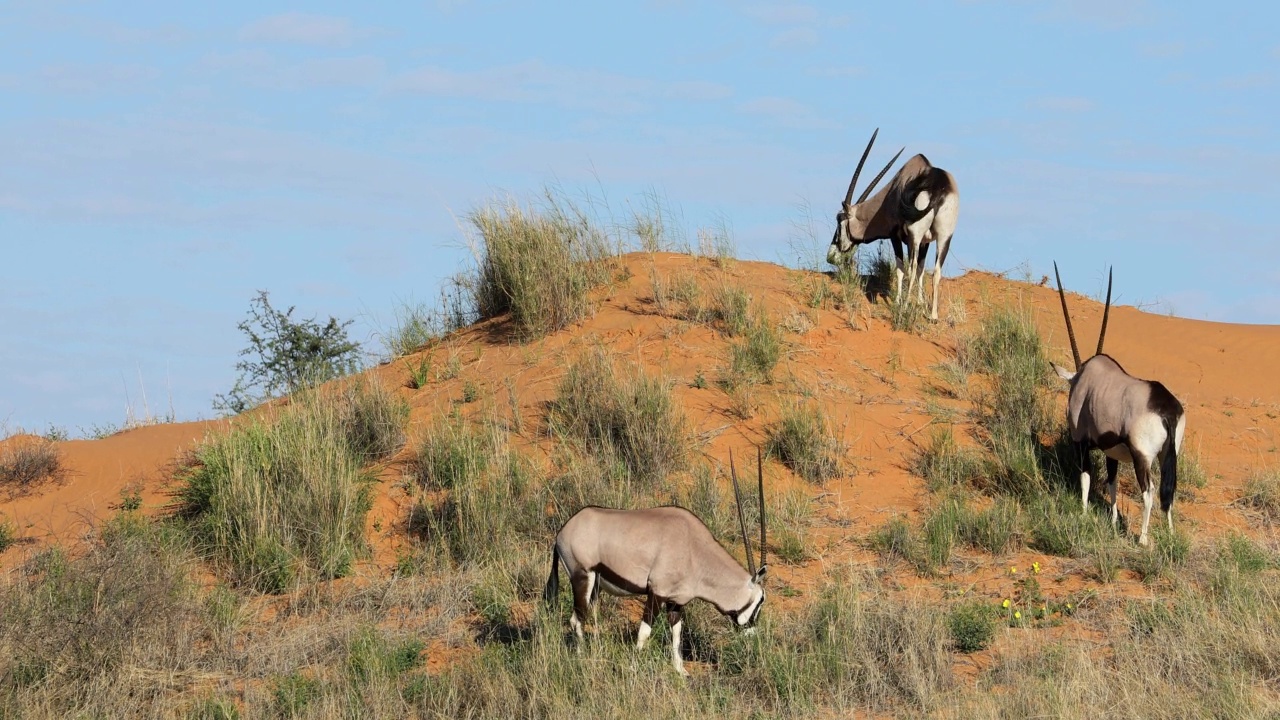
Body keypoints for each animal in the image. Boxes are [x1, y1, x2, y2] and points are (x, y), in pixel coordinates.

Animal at [542, 448, 762, 671]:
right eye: (760, 601)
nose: (753, 634)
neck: (695, 550)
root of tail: (563, 531)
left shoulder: (675, 602)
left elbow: (676, 634)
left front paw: (680, 670)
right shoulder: (656, 593)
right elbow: (645, 632)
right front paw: (635, 666)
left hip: (595, 585)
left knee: (584, 616)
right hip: (582, 577)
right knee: (577, 619)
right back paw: (581, 658)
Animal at [829, 128, 962, 319]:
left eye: (839, 220)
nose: (831, 256)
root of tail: (937, 186)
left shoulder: (896, 237)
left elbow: (901, 268)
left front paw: (899, 302)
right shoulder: (926, 242)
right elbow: (922, 269)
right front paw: (921, 304)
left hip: (915, 236)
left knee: (911, 269)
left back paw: (906, 307)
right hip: (944, 237)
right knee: (936, 272)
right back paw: (933, 316)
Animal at [1054, 263, 1182, 543]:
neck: (1083, 378)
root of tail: (1166, 411)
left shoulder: (1081, 442)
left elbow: (1086, 477)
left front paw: (1083, 513)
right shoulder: (1111, 451)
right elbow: (1111, 483)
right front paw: (1113, 522)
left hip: (1141, 456)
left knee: (1149, 491)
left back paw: (1143, 539)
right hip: (1169, 454)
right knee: (1168, 492)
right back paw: (1169, 535)